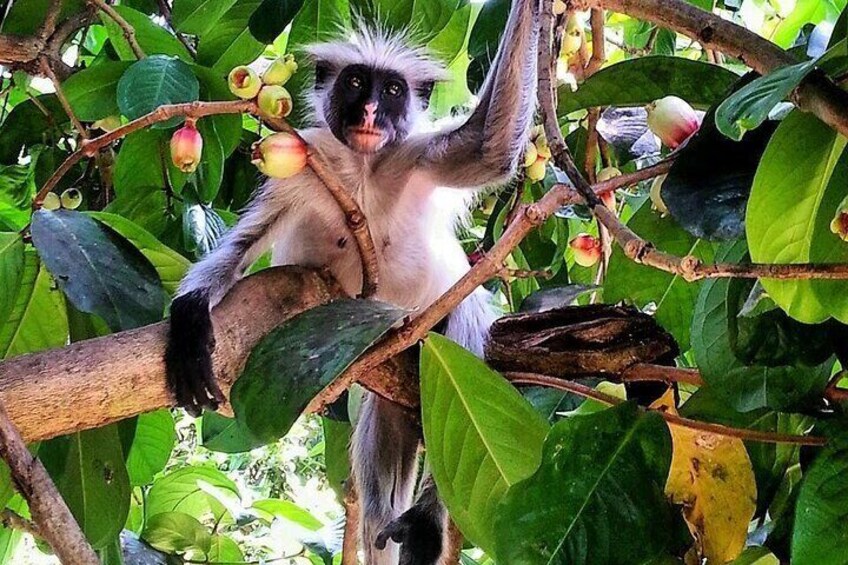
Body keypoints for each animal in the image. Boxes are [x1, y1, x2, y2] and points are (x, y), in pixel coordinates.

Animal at [165, 0, 539, 562]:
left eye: (392, 91)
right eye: (357, 83)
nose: (368, 114)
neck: (361, 169)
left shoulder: (412, 156)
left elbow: (488, 149)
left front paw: (543, 11)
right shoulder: (305, 164)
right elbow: (241, 246)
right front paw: (189, 320)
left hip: (425, 343)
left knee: (463, 322)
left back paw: (425, 521)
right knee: (382, 441)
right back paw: (391, 525)